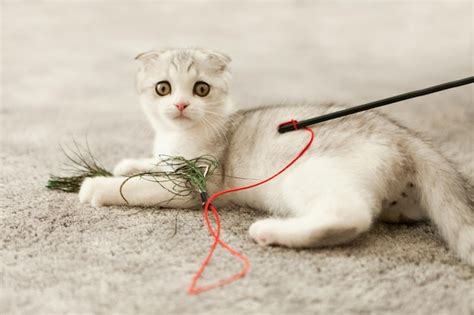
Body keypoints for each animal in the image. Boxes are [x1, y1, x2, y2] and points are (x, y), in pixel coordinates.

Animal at [78, 47, 474, 266]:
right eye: (163, 88)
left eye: (201, 89)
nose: (180, 105)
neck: (180, 135)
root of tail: (404, 135)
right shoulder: (172, 160)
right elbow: (153, 165)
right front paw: (129, 163)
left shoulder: (195, 185)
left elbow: (140, 186)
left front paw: (97, 185)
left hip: (306, 175)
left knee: (350, 216)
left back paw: (272, 231)